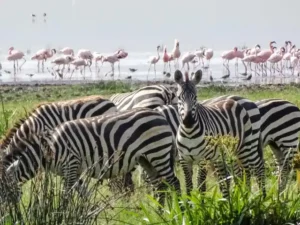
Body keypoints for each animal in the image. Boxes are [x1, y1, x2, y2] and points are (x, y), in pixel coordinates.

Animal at [0, 107, 180, 206]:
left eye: (4, 192)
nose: (6, 217)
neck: (48, 150)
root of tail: (159, 114)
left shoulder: (71, 165)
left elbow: (66, 197)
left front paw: (62, 215)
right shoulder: (72, 172)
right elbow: (83, 194)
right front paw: (89, 212)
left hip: (158, 152)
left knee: (174, 183)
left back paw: (179, 210)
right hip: (146, 159)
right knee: (160, 185)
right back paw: (159, 212)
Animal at [175, 69, 266, 198]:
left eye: (196, 97)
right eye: (179, 97)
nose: (188, 121)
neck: (189, 133)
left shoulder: (203, 159)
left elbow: (201, 185)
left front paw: (201, 202)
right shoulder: (184, 160)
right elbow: (188, 187)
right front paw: (188, 203)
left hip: (249, 144)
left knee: (258, 167)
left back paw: (262, 197)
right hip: (232, 152)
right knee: (240, 172)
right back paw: (241, 195)